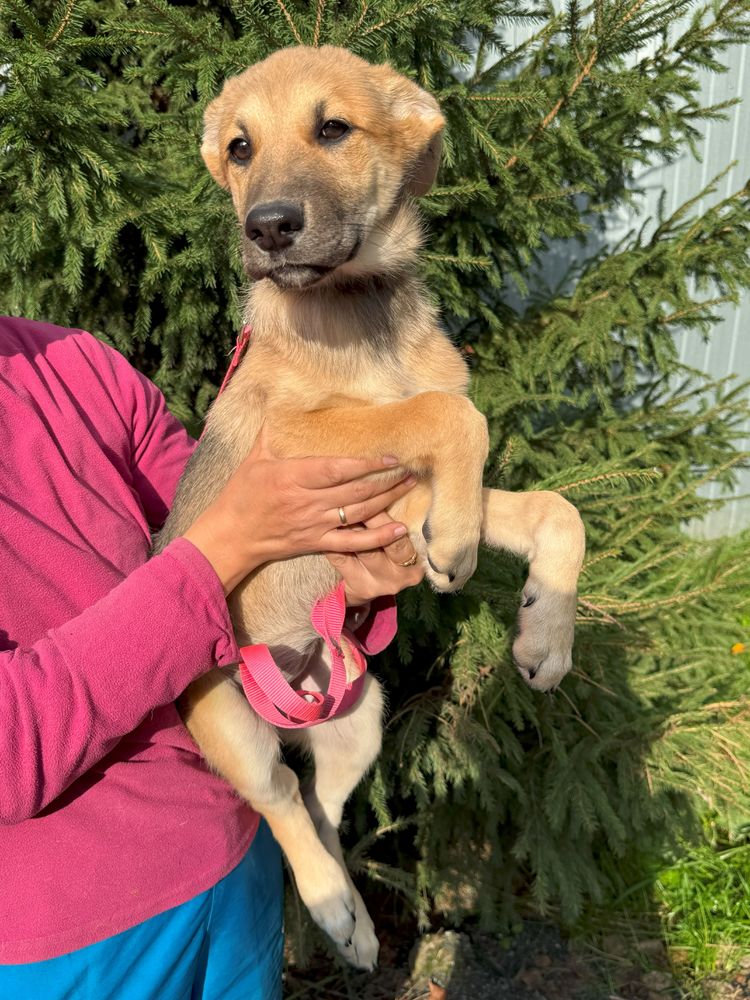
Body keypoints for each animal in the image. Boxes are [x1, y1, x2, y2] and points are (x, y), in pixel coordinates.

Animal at [155, 45, 585, 970]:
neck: (359, 311)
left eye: (333, 129)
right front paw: (456, 545)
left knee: (321, 802)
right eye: (239, 147)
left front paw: (544, 635)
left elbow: (554, 508)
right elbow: (447, 413)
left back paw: (350, 917)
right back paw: (331, 906)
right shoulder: (303, 441)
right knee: (280, 795)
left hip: (361, 719)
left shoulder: (403, 489)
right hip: (226, 722)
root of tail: (286, 687)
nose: (268, 228)